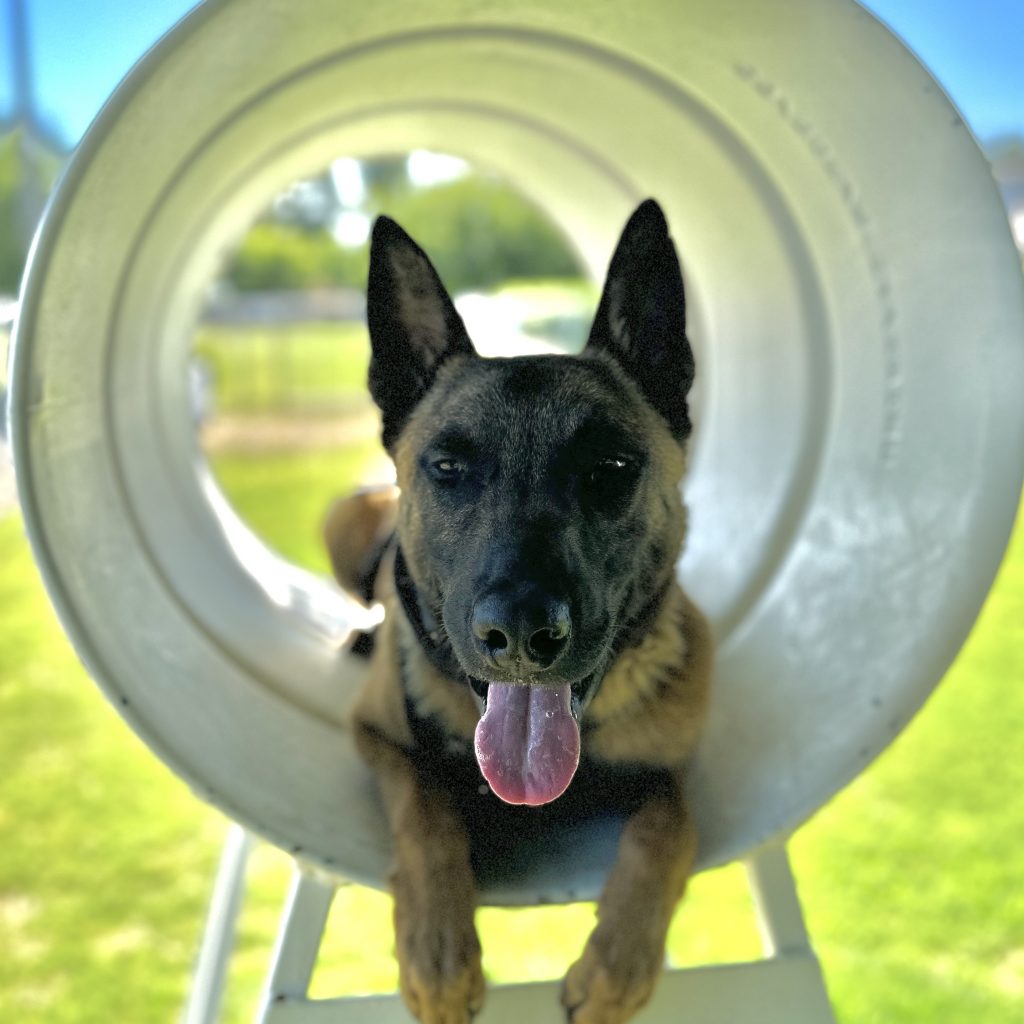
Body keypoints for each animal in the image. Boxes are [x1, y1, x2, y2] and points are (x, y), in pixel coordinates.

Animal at [325, 197, 712, 1024]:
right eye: (448, 468)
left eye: (610, 468)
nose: (522, 635)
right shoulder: (379, 737)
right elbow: (427, 812)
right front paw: (439, 955)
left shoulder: (669, 772)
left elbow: (666, 827)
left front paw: (616, 968)